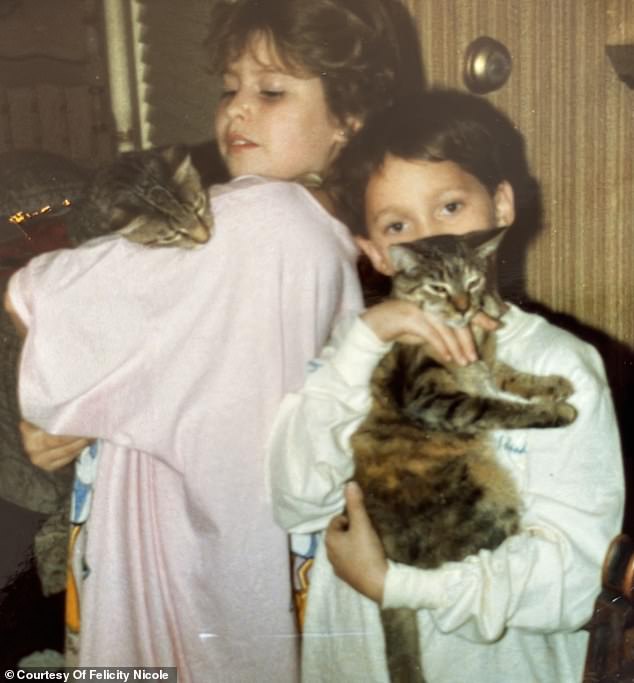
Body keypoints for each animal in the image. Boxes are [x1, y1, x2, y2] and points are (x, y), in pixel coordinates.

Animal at [354, 228, 576, 683]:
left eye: (472, 282)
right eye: (438, 288)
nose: (463, 306)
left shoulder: (485, 361)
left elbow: (509, 376)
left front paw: (550, 384)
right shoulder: (432, 399)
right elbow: (498, 407)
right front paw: (552, 410)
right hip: (488, 492)